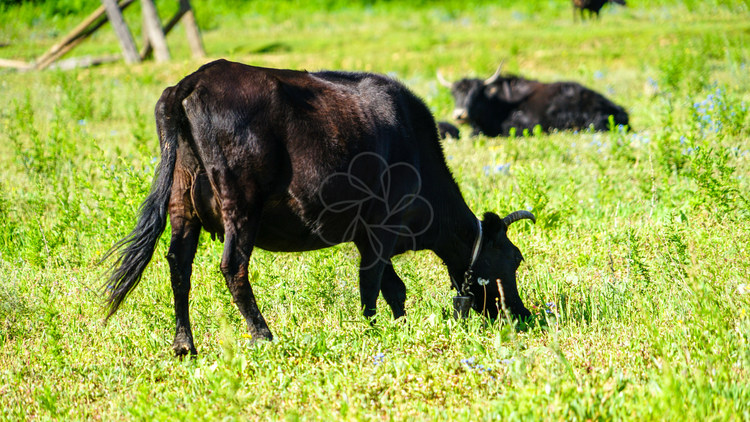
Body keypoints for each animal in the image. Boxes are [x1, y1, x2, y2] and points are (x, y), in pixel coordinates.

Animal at [103, 59, 536, 356]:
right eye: (514, 259)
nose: (523, 316)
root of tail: (191, 82)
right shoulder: (380, 230)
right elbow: (372, 283)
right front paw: (374, 329)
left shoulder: (370, 235)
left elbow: (393, 287)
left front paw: (400, 323)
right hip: (240, 202)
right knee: (233, 267)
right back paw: (263, 335)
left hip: (183, 205)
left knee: (179, 265)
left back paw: (184, 345)